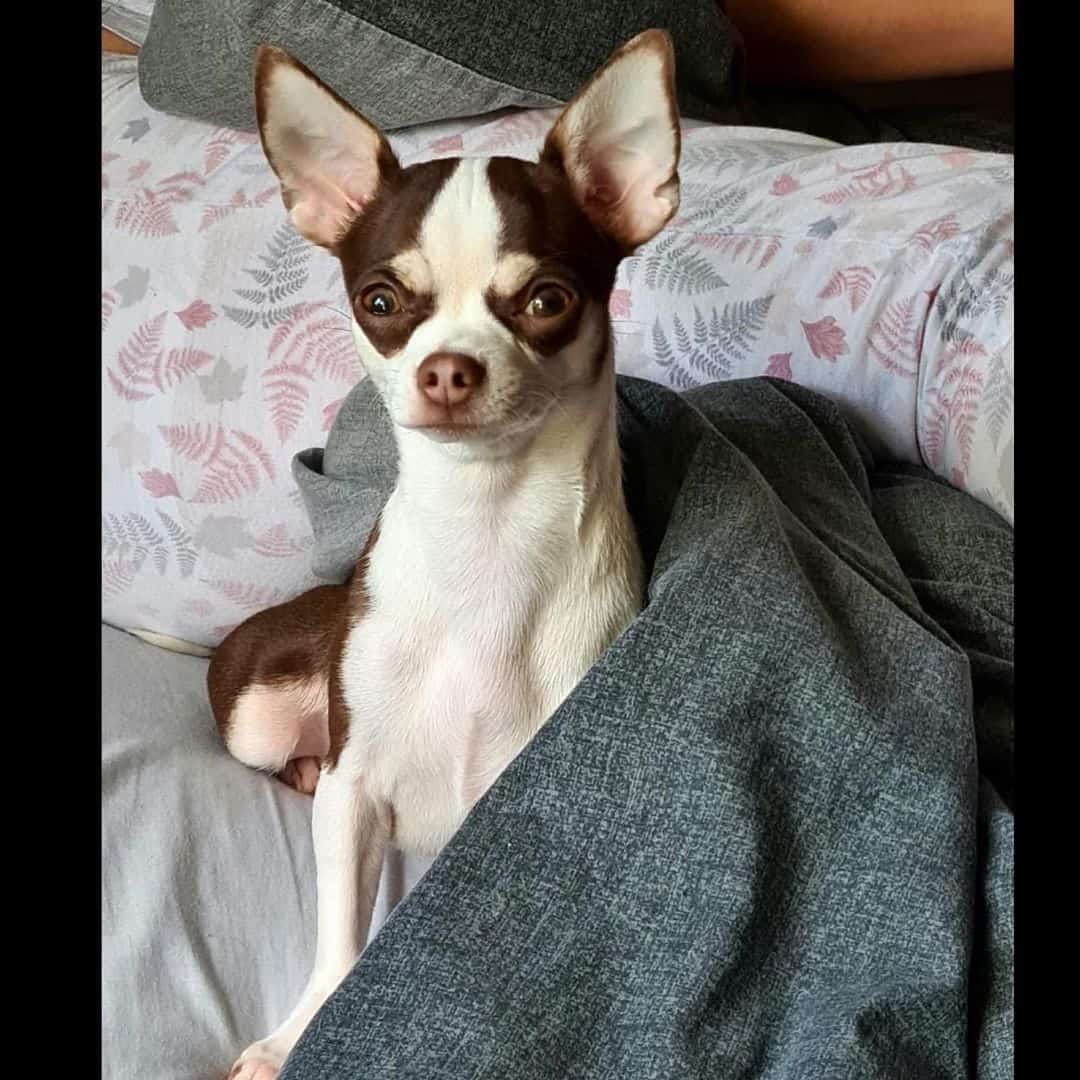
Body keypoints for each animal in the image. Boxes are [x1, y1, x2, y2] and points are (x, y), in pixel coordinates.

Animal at [209, 29, 678, 1075]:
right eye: (382, 300)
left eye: (546, 300)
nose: (448, 367)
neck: (484, 530)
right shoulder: (355, 796)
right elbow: (340, 941)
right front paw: (300, 1034)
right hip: (256, 717)